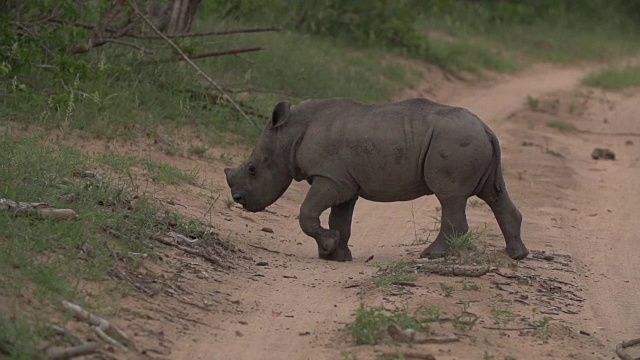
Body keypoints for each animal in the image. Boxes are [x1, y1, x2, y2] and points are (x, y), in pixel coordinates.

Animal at [225, 97, 528, 262]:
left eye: (252, 169)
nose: (238, 199)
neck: (289, 134)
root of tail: (486, 128)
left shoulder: (330, 177)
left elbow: (307, 213)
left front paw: (328, 247)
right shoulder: (343, 182)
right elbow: (340, 220)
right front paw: (335, 254)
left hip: (456, 141)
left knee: (450, 196)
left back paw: (431, 255)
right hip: (472, 141)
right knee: (493, 194)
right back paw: (517, 255)